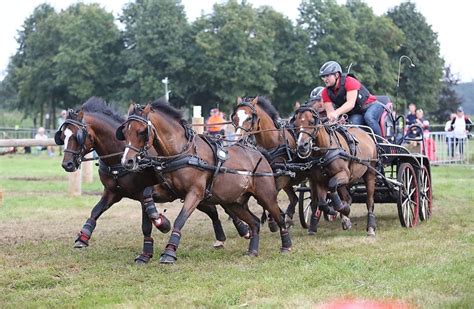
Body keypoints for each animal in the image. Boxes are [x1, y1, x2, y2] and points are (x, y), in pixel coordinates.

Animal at [54, 96, 248, 262]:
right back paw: (222, 237)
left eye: (78, 136)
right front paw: (83, 237)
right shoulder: (113, 192)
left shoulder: (144, 192)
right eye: (63, 136)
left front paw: (162, 226)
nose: (67, 164)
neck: (118, 155)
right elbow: (96, 211)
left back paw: (243, 229)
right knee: (213, 211)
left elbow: (149, 220)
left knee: (224, 206)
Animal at [116, 99, 290, 262]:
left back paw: (286, 245)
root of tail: (259, 153)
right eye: (124, 131)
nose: (127, 161)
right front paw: (159, 223)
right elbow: (147, 195)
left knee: (279, 216)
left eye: (141, 132)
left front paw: (169, 252)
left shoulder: (195, 193)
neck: (182, 152)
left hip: (266, 196)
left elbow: (180, 219)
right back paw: (252, 250)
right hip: (234, 202)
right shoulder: (169, 192)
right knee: (254, 222)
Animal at [231, 96, 306, 226]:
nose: (238, 141)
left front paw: (272, 220)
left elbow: (270, 197)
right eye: (235, 118)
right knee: (294, 198)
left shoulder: (281, 177)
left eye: (249, 118)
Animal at [292, 106, 378, 236]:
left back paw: (371, 228)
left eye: (311, 122)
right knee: (347, 197)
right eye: (296, 124)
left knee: (369, 201)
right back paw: (345, 217)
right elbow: (322, 203)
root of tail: (367, 134)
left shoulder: (344, 175)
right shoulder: (319, 181)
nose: (302, 146)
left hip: (370, 173)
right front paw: (335, 211)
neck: (325, 151)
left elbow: (332, 185)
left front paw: (342, 209)